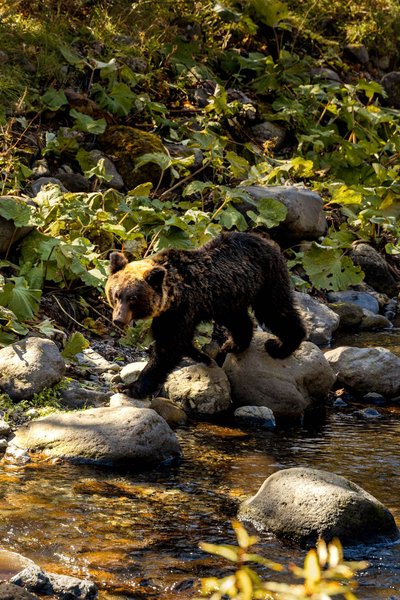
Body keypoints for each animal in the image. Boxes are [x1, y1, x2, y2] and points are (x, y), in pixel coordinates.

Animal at [105, 230, 306, 398]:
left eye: (133, 298)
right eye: (116, 295)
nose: (118, 319)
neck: (173, 293)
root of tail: (268, 241)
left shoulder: (181, 309)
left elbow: (168, 347)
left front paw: (131, 387)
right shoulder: (172, 312)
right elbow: (179, 342)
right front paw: (202, 355)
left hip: (266, 280)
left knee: (275, 309)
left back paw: (281, 345)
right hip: (229, 297)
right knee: (240, 320)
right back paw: (233, 344)